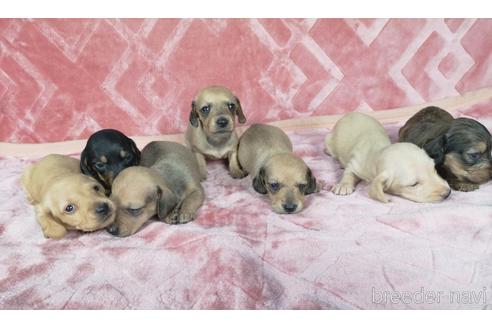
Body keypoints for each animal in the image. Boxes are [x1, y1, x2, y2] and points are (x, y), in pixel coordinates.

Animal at [324, 112, 452, 202]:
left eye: (435, 170)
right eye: (414, 184)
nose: (448, 193)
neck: (378, 152)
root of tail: (349, 114)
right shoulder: (356, 163)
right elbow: (349, 172)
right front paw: (344, 185)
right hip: (330, 141)